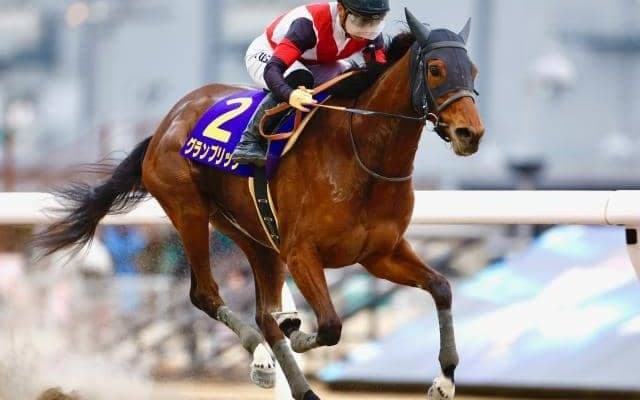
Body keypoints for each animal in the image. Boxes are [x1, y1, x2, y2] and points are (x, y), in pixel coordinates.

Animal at [33, 9, 484, 400]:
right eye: (435, 68)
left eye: (473, 70)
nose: (470, 133)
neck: (361, 155)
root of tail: (167, 122)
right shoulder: (302, 252)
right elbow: (330, 326)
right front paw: (298, 329)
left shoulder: (380, 253)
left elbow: (441, 287)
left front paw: (445, 380)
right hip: (188, 210)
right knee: (208, 295)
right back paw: (267, 353)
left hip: (253, 234)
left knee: (263, 314)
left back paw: (291, 377)